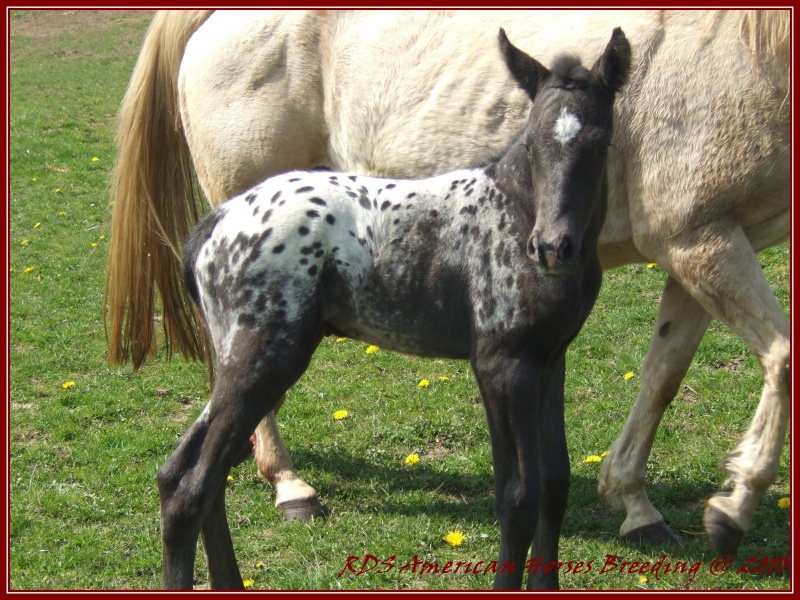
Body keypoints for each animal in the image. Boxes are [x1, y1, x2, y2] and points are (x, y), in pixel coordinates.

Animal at [104, 8, 788, 556]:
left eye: (604, 142)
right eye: (531, 141)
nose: (552, 247)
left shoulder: (687, 255)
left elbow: (657, 382)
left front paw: (641, 506)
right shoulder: (695, 239)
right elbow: (780, 358)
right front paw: (731, 510)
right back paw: (289, 485)